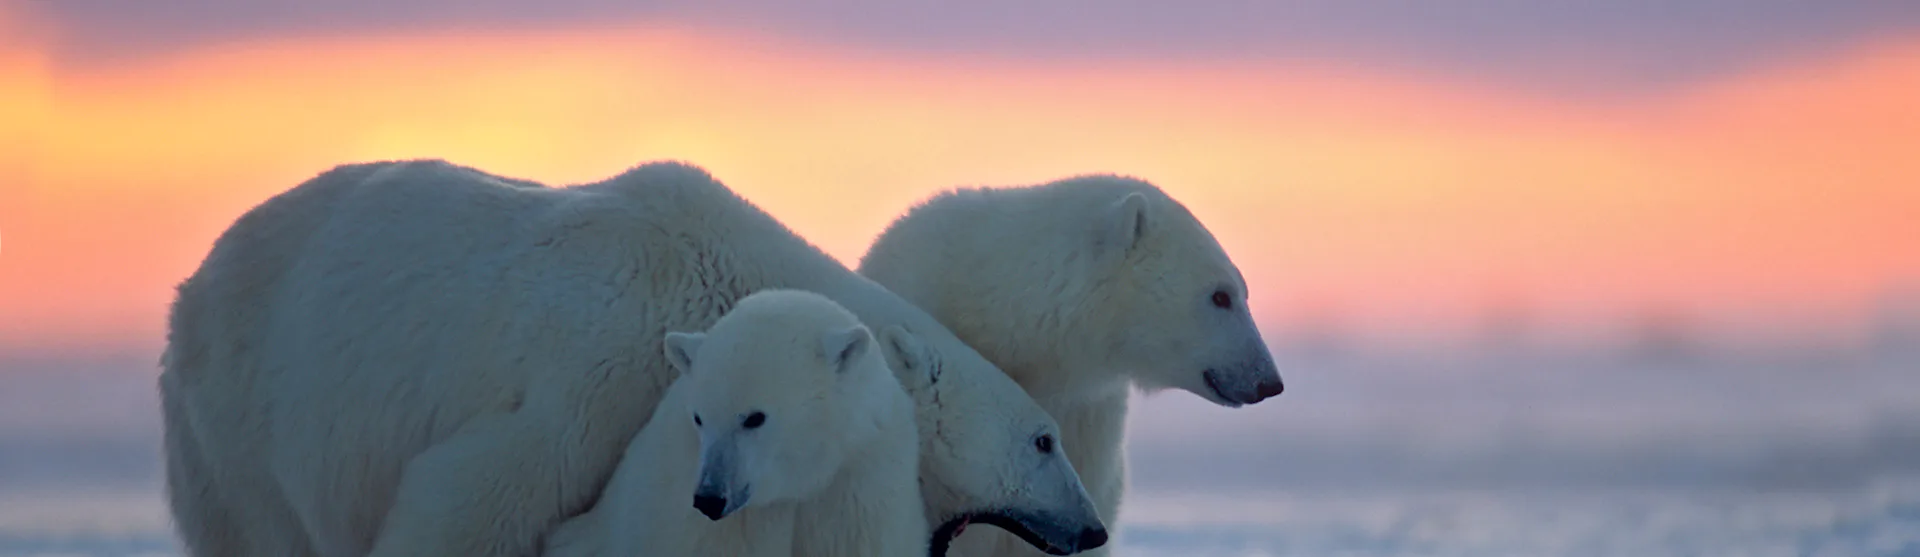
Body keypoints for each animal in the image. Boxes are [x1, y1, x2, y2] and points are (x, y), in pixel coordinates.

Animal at [540, 288, 926, 557]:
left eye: (754, 417)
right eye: (699, 418)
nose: (709, 499)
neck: (795, 488)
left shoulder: (858, 489)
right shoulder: (697, 522)